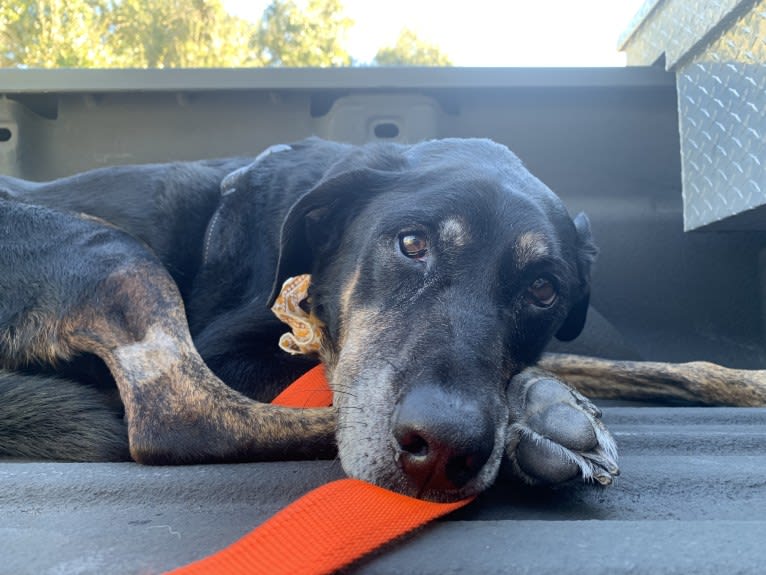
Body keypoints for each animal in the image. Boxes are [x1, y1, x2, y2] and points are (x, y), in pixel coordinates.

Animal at [0, 137, 620, 502]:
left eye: (543, 290)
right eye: (411, 243)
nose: (446, 450)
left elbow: (588, 360)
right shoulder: (230, 352)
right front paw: (535, 408)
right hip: (112, 252)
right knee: (184, 422)